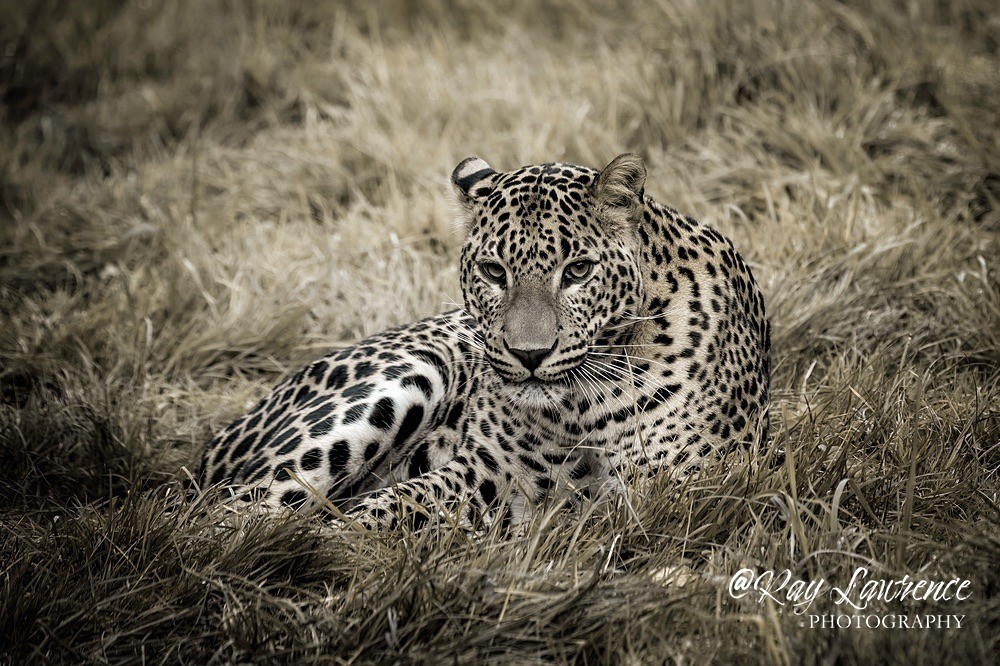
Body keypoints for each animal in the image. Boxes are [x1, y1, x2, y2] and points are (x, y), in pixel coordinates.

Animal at [198, 153, 771, 529]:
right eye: (494, 271)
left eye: (578, 270)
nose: (529, 355)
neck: (581, 406)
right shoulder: (486, 468)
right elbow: (401, 500)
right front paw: (344, 537)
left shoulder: (671, 489)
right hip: (410, 376)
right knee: (232, 512)